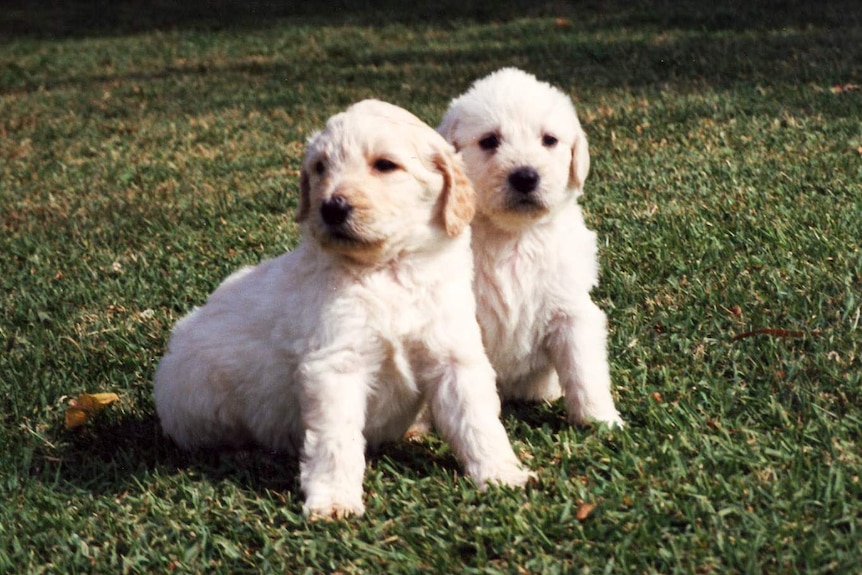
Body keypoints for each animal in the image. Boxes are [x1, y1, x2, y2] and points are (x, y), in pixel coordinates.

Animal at [155, 100, 532, 520]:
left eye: (385, 165)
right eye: (320, 167)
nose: (331, 208)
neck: (388, 269)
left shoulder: (454, 354)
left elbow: (477, 418)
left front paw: (501, 473)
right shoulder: (335, 363)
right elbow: (336, 439)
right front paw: (334, 500)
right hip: (195, 391)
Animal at [442, 68, 624, 428]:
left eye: (549, 140)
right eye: (489, 141)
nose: (525, 177)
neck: (515, 237)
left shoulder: (571, 310)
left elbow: (584, 368)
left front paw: (600, 420)